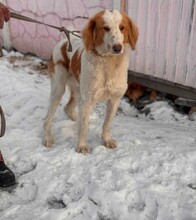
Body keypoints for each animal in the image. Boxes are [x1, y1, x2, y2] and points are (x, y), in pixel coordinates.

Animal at [43, 10, 138, 154]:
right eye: (105, 28)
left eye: (122, 28)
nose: (117, 48)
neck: (108, 63)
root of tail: (64, 41)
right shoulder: (87, 100)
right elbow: (83, 127)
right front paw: (82, 146)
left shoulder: (114, 99)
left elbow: (106, 124)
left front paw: (107, 140)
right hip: (58, 90)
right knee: (47, 119)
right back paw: (48, 137)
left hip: (78, 92)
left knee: (68, 108)